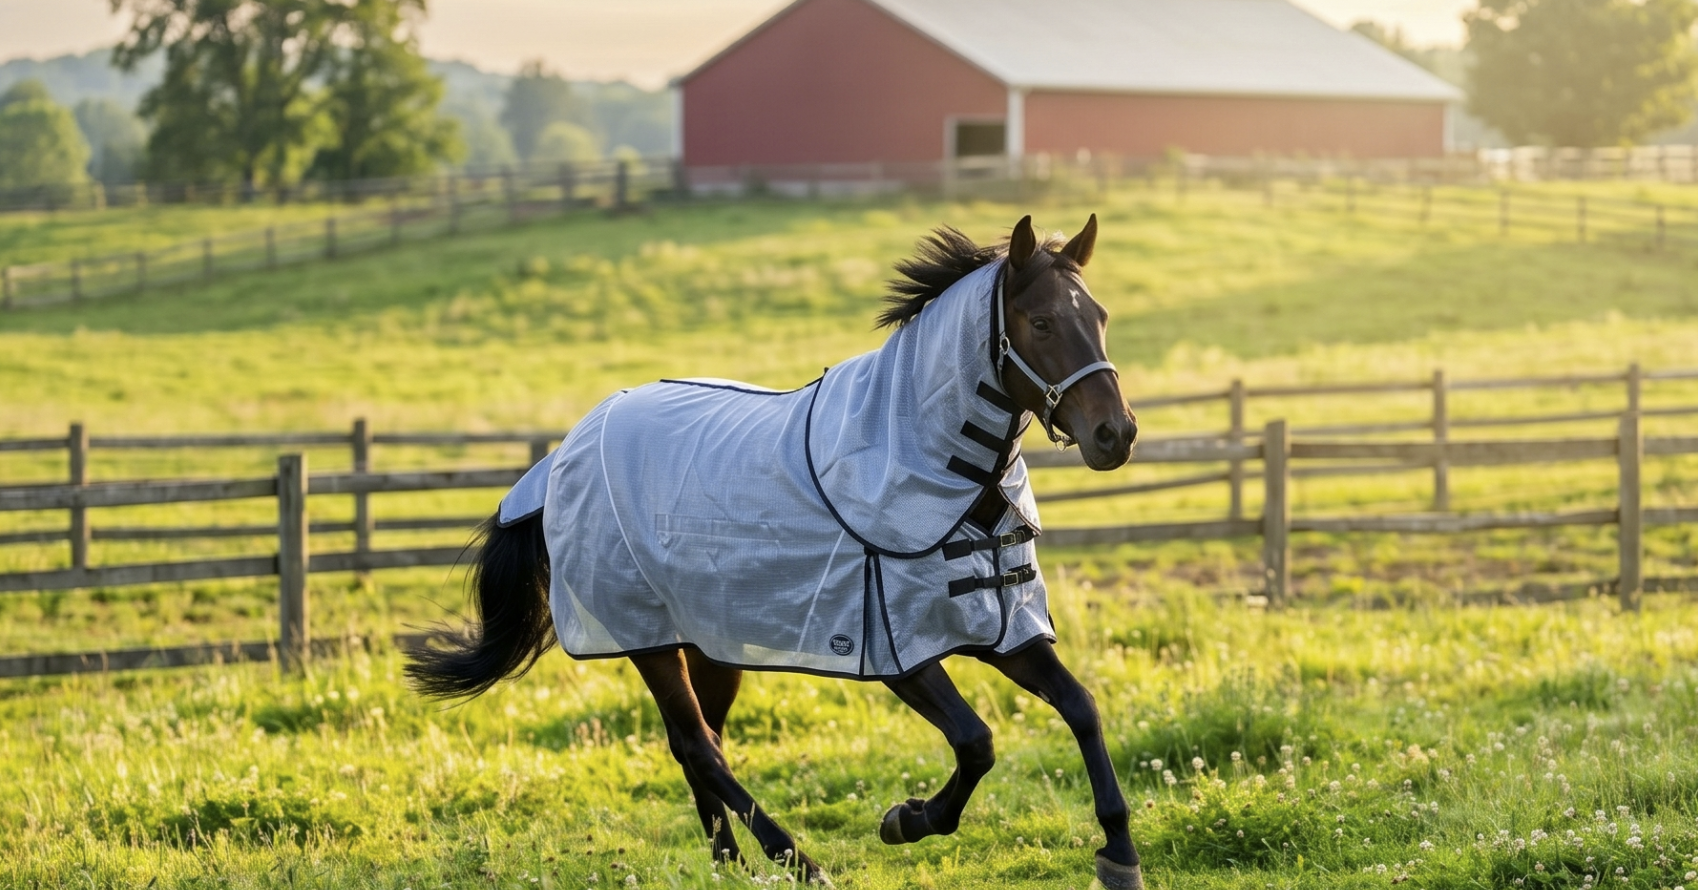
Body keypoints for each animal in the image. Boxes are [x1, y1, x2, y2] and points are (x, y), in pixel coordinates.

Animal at [405, 214, 1144, 889]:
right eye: (1041, 322)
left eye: (1100, 316)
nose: (1116, 434)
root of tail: (565, 452)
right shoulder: (898, 650)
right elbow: (977, 742)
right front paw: (905, 820)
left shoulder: (1005, 629)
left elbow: (1081, 706)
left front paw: (1119, 855)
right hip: (646, 639)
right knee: (700, 746)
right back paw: (797, 861)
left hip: (706, 641)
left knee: (695, 741)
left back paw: (728, 861)